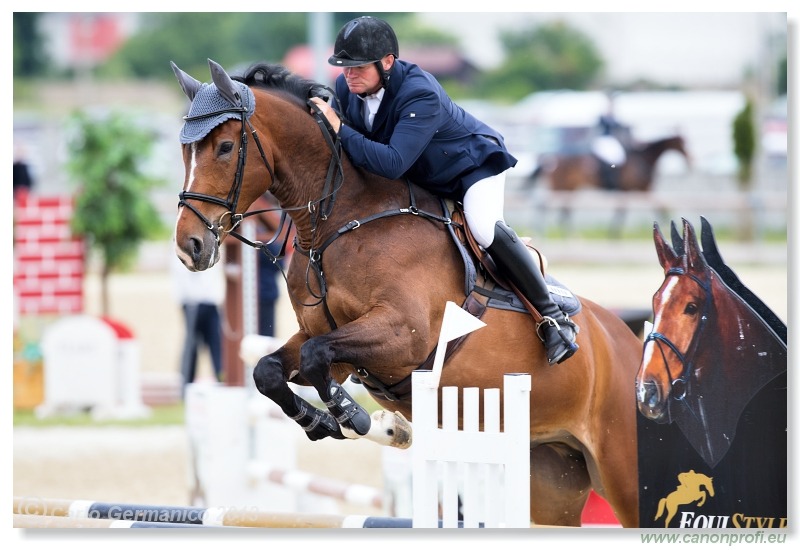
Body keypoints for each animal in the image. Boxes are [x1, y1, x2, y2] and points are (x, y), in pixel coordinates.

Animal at [170, 60, 644, 532]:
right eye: (185, 151)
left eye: (226, 147)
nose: (189, 246)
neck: (340, 222)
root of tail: (635, 347)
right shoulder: (330, 342)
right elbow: (271, 369)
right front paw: (327, 421)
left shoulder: (403, 335)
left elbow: (316, 356)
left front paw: (358, 418)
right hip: (551, 476)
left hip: (622, 472)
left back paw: (558, 333)